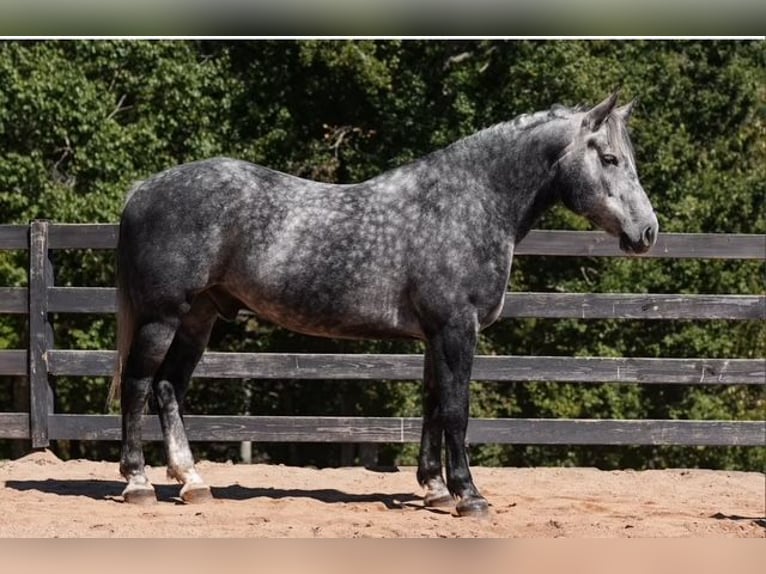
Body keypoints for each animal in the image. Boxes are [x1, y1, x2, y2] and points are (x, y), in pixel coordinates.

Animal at [110, 91, 658, 517]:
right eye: (610, 159)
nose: (648, 232)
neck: (467, 204)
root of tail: (143, 189)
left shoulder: (436, 335)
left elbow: (433, 404)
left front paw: (436, 490)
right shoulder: (456, 329)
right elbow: (456, 409)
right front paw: (469, 496)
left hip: (199, 318)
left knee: (168, 387)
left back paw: (192, 482)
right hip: (163, 317)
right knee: (138, 384)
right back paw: (138, 483)